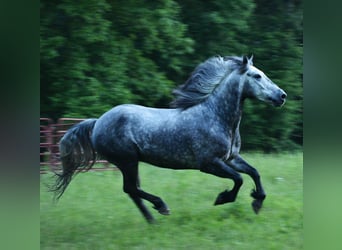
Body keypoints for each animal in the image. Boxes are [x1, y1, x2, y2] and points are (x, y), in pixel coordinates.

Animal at [50, 54, 286, 223]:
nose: (282, 96)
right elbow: (238, 179)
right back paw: (161, 207)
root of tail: (98, 121)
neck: (216, 116)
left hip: (130, 163)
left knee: (132, 191)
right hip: (127, 161)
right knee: (131, 189)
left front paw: (257, 202)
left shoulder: (231, 158)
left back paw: (152, 219)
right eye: (256, 76)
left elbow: (254, 173)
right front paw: (222, 198)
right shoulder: (209, 163)